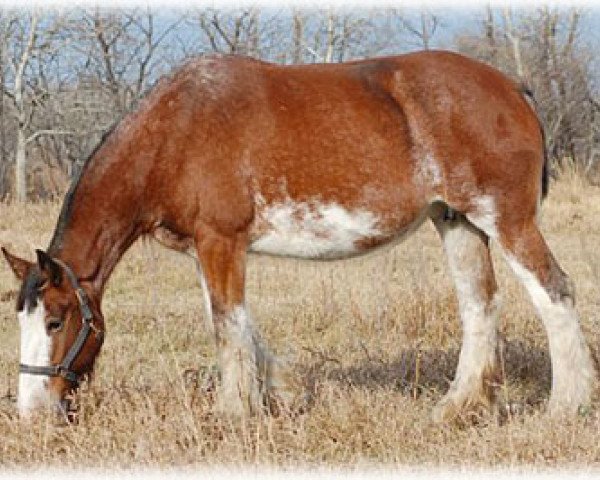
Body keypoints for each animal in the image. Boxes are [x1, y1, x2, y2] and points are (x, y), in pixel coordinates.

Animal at [1, 50, 596, 422]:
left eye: (55, 321)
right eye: (22, 319)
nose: (31, 413)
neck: (176, 132)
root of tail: (511, 87)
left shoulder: (221, 242)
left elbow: (227, 325)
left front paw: (232, 413)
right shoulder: (207, 249)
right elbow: (240, 326)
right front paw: (277, 395)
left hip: (506, 220)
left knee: (554, 292)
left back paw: (565, 406)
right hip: (457, 221)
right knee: (480, 306)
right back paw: (457, 409)